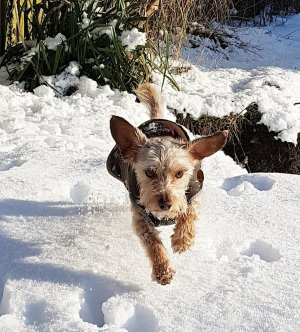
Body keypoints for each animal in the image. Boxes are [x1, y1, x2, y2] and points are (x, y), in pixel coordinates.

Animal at [107, 83, 227, 286]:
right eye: (149, 172)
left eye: (180, 173)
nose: (165, 204)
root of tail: (156, 120)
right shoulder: (140, 215)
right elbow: (152, 242)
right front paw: (162, 269)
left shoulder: (193, 193)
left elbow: (189, 212)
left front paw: (182, 240)